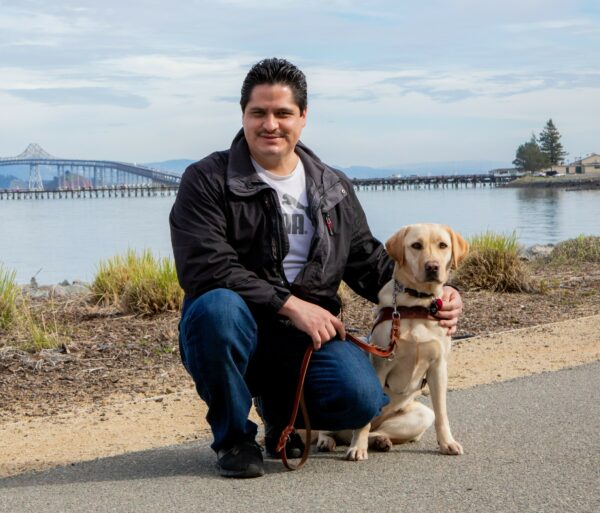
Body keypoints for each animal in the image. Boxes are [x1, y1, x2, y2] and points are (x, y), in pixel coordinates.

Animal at [318, 224, 468, 460]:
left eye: (443, 245)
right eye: (416, 245)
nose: (432, 266)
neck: (417, 303)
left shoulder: (438, 367)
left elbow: (442, 413)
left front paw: (447, 443)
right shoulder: (380, 366)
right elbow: (363, 422)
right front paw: (357, 448)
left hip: (421, 414)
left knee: (379, 430)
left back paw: (381, 441)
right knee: (329, 429)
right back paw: (329, 441)